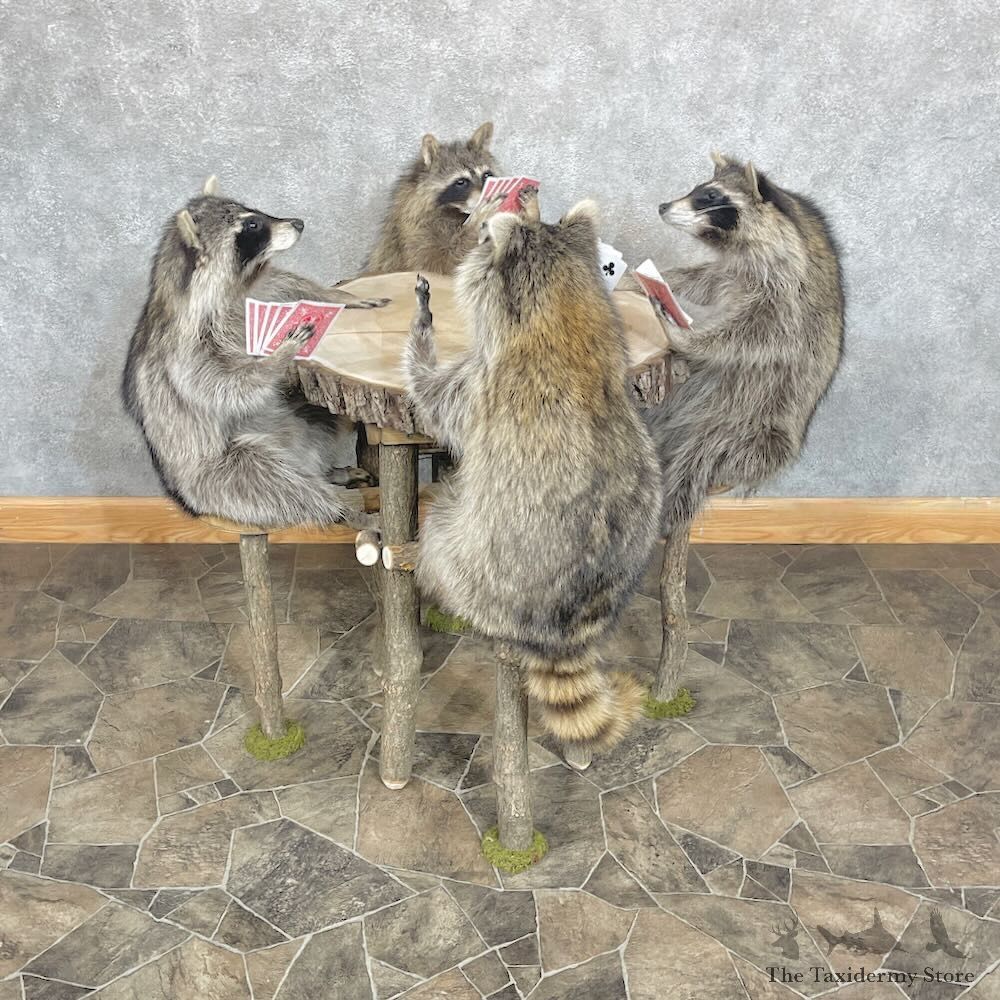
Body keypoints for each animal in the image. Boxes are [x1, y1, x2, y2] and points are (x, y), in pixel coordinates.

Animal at [122, 177, 380, 529]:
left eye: (253, 211)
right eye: (253, 225)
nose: (298, 223)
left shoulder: (258, 289)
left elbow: (285, 283)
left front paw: (334, 295)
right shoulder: (185, 348)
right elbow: (224, 383)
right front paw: (277, 358)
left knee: (325, 414)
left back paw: (332, 471)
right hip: (221, 478)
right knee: (282, 483)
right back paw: (342, 511)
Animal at [364, 122, 499, 275]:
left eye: (486, 175)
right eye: (461, 182)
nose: (488, 195)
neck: (455, 211)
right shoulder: (413, 227)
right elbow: (437, 262)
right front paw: (478, 221)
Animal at [393, 191, 662, 749]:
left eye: (482, 239)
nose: (517, 199)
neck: (564, 308)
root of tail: (563, 629)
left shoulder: (479, 383)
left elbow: (431, 398)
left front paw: (422, 329)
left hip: (476, 564)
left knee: (443, 525)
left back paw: (415, 553)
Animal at [645, 153, 844, 532]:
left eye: (709, 197)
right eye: (697, 188)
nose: (662, 206)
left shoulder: (787, 293)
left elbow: (757, 337)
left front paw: (687, 337)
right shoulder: (733, 272)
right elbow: (706, 281)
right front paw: (667, 278)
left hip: (758, 425)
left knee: (714, 456)